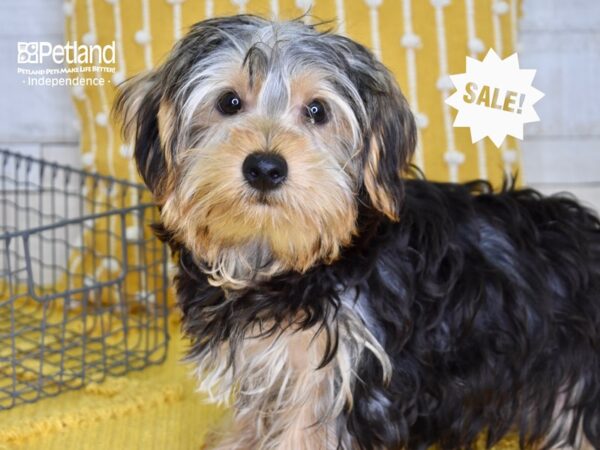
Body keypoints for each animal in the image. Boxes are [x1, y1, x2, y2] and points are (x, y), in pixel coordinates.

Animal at [113, 14, 600, 450]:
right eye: (229, 103)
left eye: (317, 111)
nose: (265, 167)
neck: (282, 260)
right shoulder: (270, 360)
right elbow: (258, 412)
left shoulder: (335, 370)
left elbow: (303, 434)